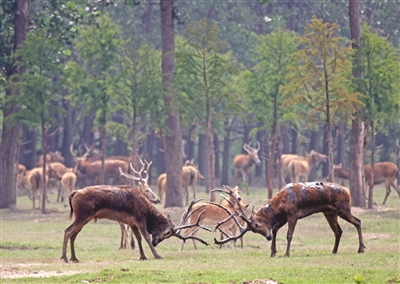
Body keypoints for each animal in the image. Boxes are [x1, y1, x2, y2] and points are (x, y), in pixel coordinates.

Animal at [212, 182, 366, 258]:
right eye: (254, 230)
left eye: (256, 225)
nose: (267, 237)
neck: (280, 206)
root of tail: (347, 191)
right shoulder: (283, 218)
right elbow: (275, 229)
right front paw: (273, 252)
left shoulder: (293, 214)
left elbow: (289, 235)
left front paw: (286, 254)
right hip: (329, 212)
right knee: (338, 231)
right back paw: (334, 251)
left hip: (343, 208)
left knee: (358, 221)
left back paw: (361, 249)